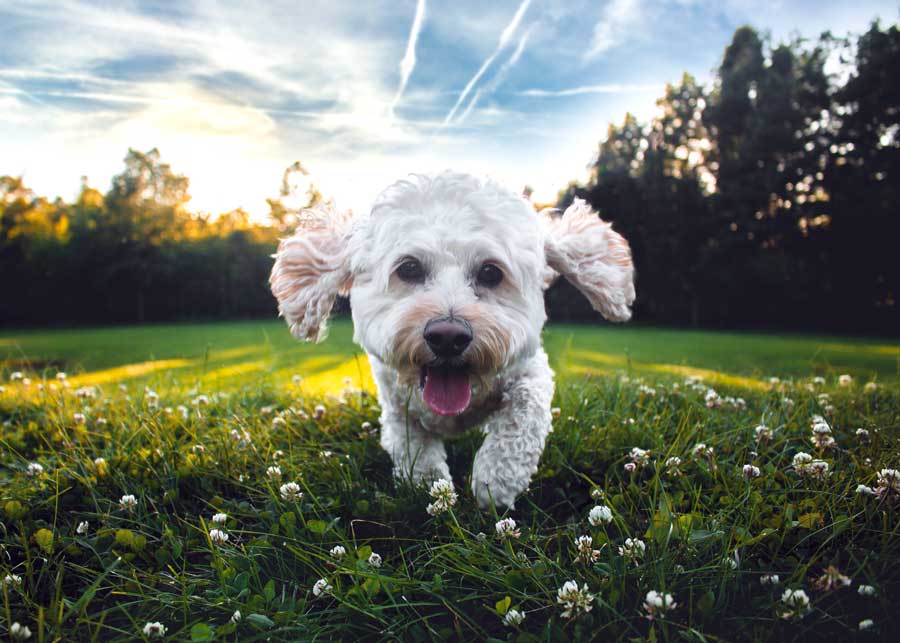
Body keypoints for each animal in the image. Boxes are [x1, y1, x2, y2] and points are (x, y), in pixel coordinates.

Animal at [268, 171, 632, 508]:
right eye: (409, 268)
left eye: (490, 273)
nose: (448, 337)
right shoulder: (396, 403)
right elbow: (413, 447)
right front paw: (431, 486)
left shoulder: (530, 371)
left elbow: (522, 415)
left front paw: (494, 480)